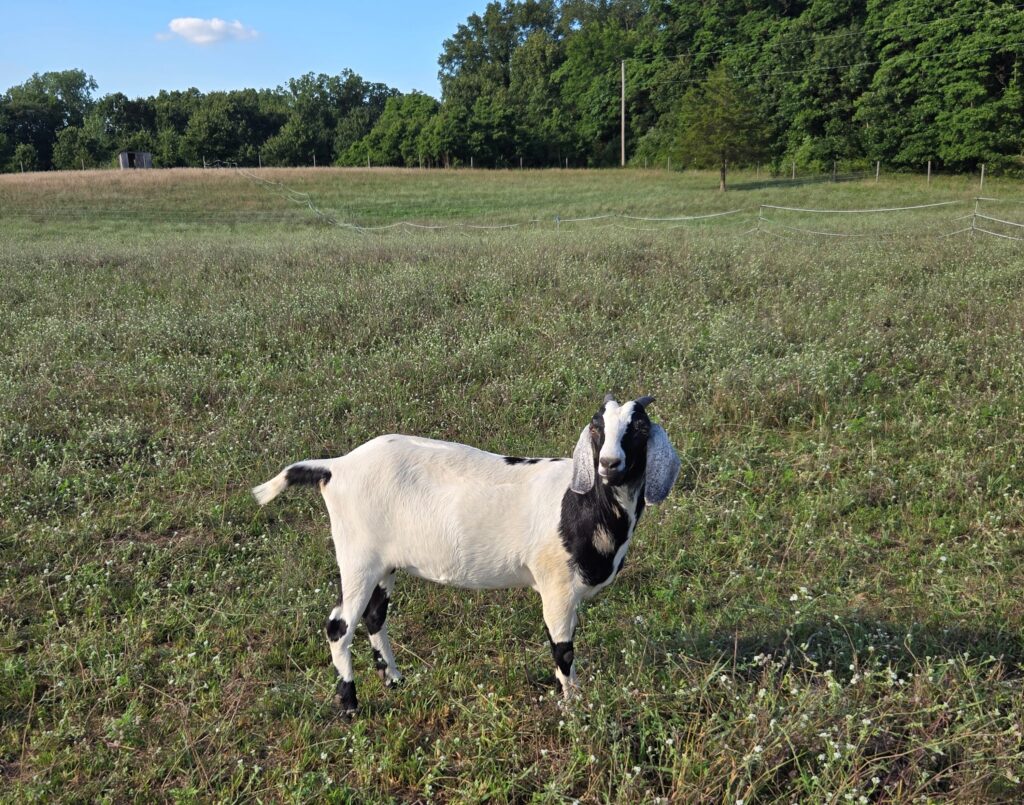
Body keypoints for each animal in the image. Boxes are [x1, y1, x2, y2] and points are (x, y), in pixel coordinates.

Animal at [252, 395, 680, 713]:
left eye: (639, 428)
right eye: (596, 426)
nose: (608, 464)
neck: (584, 504)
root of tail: (335, 468)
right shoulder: (556, 587)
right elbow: (563, 650)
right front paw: (575, 707)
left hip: (384, 564)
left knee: (375, 617)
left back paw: (395, 680)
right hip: (357, 558)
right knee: (338, 626)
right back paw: (350, 704)